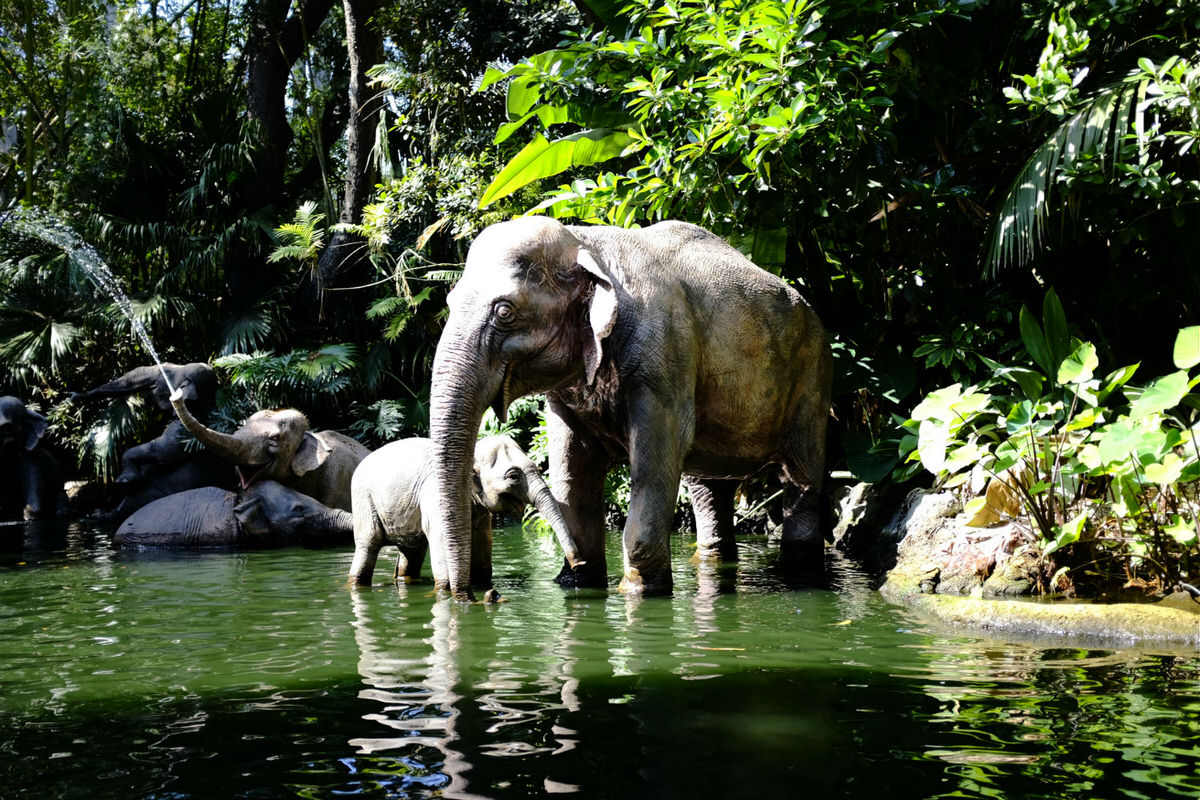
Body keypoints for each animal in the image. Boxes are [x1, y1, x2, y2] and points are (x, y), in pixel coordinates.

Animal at [348, 434, 585, 597]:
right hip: (363, 500)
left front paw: (482, 585)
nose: (578, 564)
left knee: (411, 553)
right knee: (368, 544)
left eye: (537, 466)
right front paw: (446, 589)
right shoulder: (437, 497)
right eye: (513, 476)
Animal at [432, 217, 835, 599]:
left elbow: (656, 463)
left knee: (802, 479)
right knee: (707, 489)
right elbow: (574, 473)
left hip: (813, 376)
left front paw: (640, 591)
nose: (480, 595)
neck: (585, 241)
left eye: (505, 311)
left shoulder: (664, 357)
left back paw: (801, 574)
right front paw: (578, 582)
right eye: (448, 304)